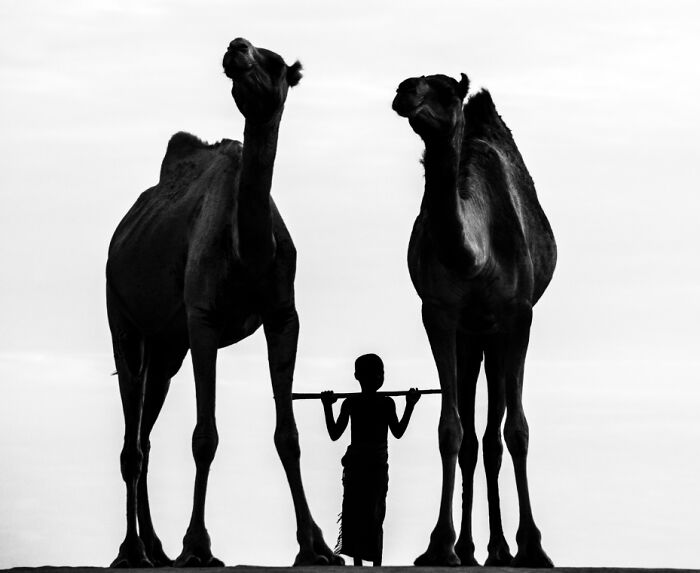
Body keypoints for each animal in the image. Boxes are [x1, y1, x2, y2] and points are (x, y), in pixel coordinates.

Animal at [106, 38, 339, 568]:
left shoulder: (283, 315)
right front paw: (198, 546)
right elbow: (204, 436)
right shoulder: (203, 318)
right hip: (123, 320)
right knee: (131, 439)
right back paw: (133, 550)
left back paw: (155, 548)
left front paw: (313, 546)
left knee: (144, 433)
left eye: (275, 63)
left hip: (167, 349)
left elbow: (288, 435)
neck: (248, 250)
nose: (237, 47)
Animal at [392, 73, 557, 567]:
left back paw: (501, 548)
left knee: (493, 436)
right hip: (471, 337)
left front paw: (533, 546)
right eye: (412, 80)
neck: (475, 259)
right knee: (472, 438)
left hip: (493, 335)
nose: (405, 90)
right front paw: (438, 545)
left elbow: (517, 431)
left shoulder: (518, 315)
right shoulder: (439, 314)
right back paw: (470, 548)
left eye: (446, 90)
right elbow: (451, 430)